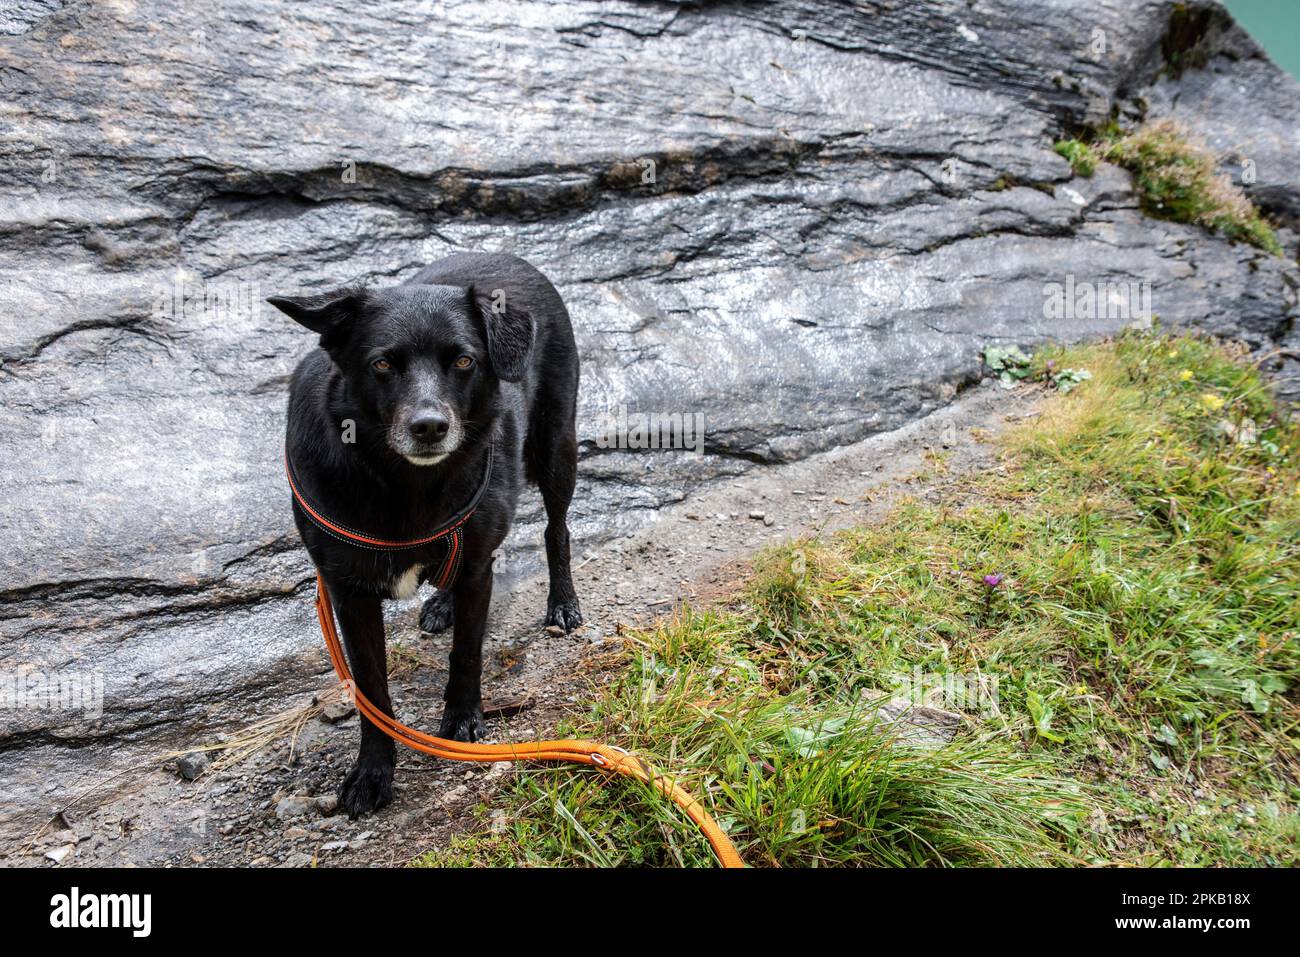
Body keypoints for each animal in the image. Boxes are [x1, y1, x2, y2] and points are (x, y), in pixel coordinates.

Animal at [271, 252, 582, 816]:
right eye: (381, 365)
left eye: (463, 362)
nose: (430, 426)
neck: (404, 483)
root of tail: (510, 255)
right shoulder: (347, 591)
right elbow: (371, 688)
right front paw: (372, 773)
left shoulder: (478, 563)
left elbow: (468, 652)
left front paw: (461, 721)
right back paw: (442, 602)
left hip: (556, 444)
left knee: (557, 529)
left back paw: (563, 603)